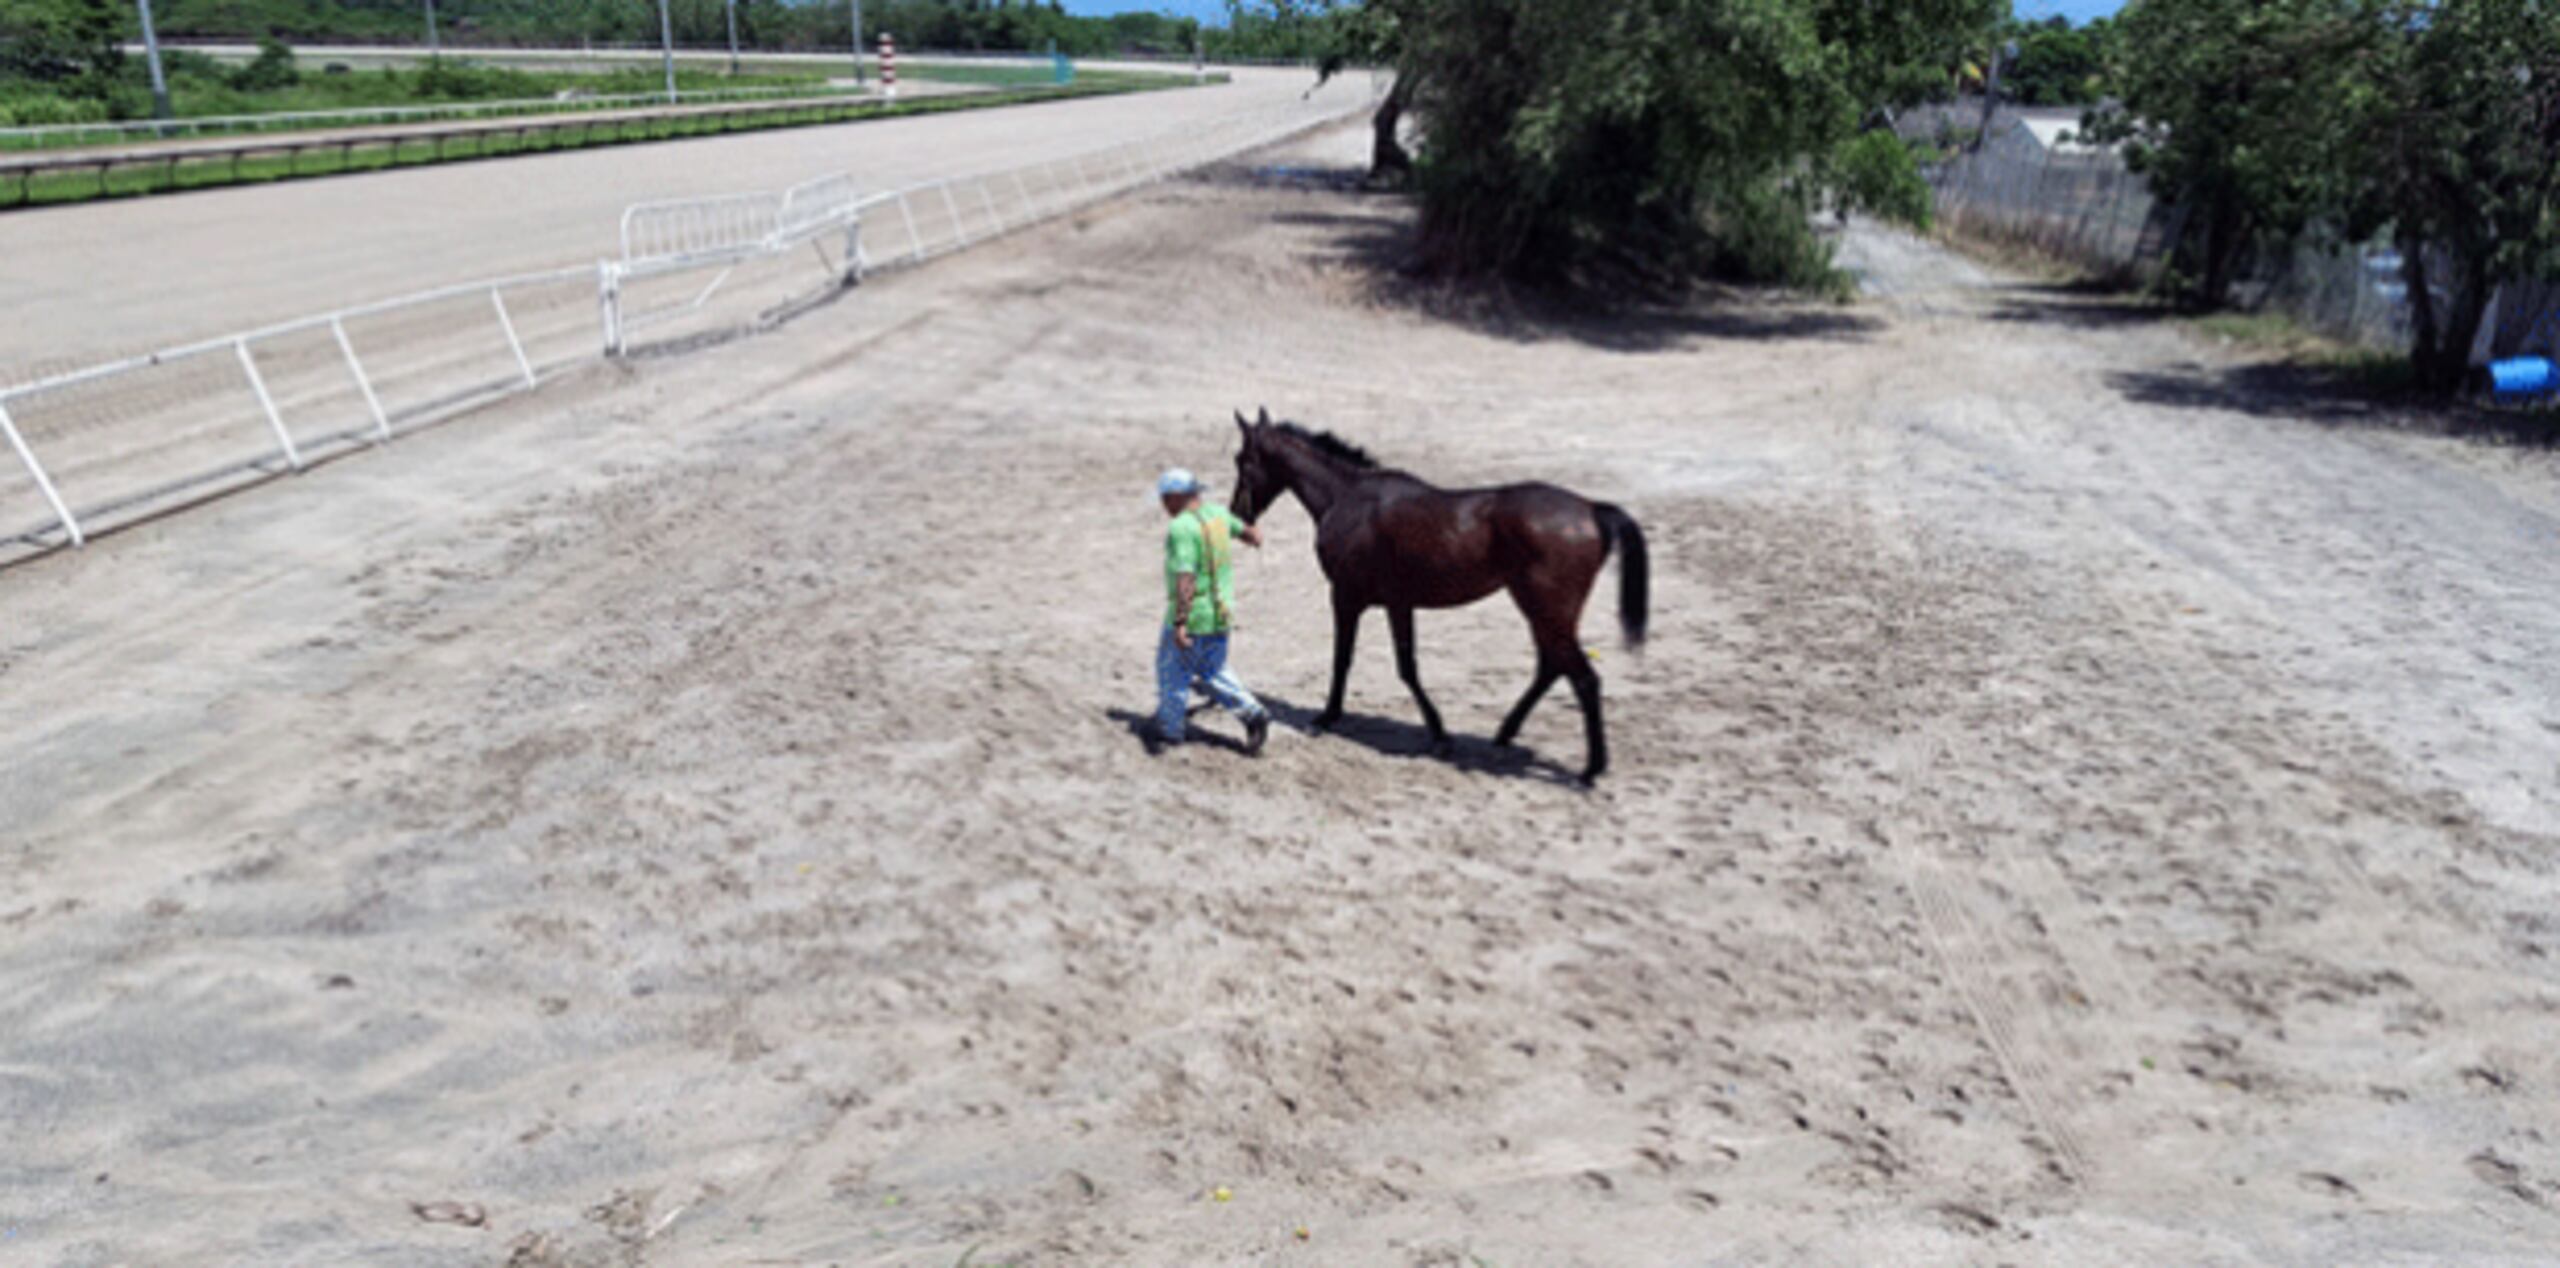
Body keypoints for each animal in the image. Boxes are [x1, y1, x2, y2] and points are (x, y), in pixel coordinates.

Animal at [1223, 409, 1658, 783]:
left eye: (1241, 458)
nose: (1237, 516)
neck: (1347, 498)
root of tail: (1591, 509)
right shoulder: (1398, 603)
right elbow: (1406, 666)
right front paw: (1438, 733)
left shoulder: (1347, 598)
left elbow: (1350, 660)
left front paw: (1329, 718)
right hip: (1542, 613)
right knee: (1553, 668)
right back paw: (1506, 735)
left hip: (1546, 612)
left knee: (1582, 678)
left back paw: (1590, 768)